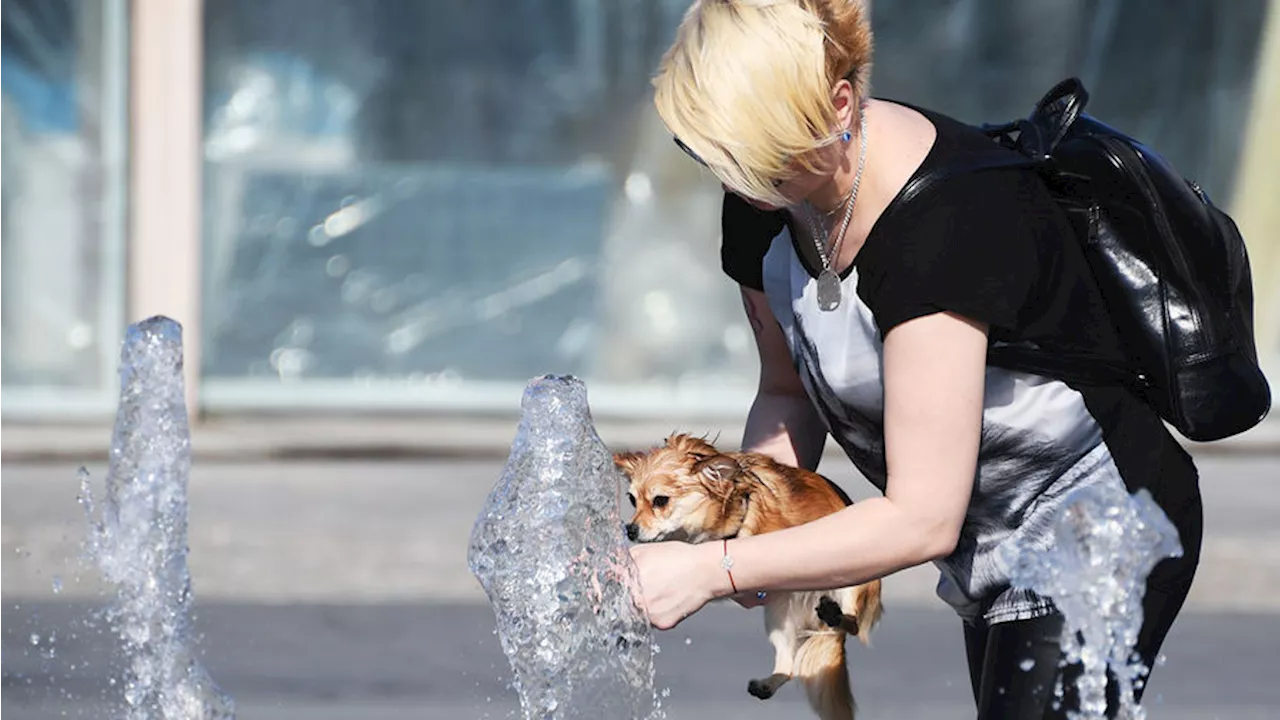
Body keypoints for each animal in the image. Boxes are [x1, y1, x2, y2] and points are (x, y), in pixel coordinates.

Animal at [614, 430, 885, 717]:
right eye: (632, 500)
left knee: (853, 624)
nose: (629, 529)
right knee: (788, 666)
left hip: (854, 588)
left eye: (660, 501)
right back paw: (768, 683)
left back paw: (836, 615)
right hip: (778, 616)